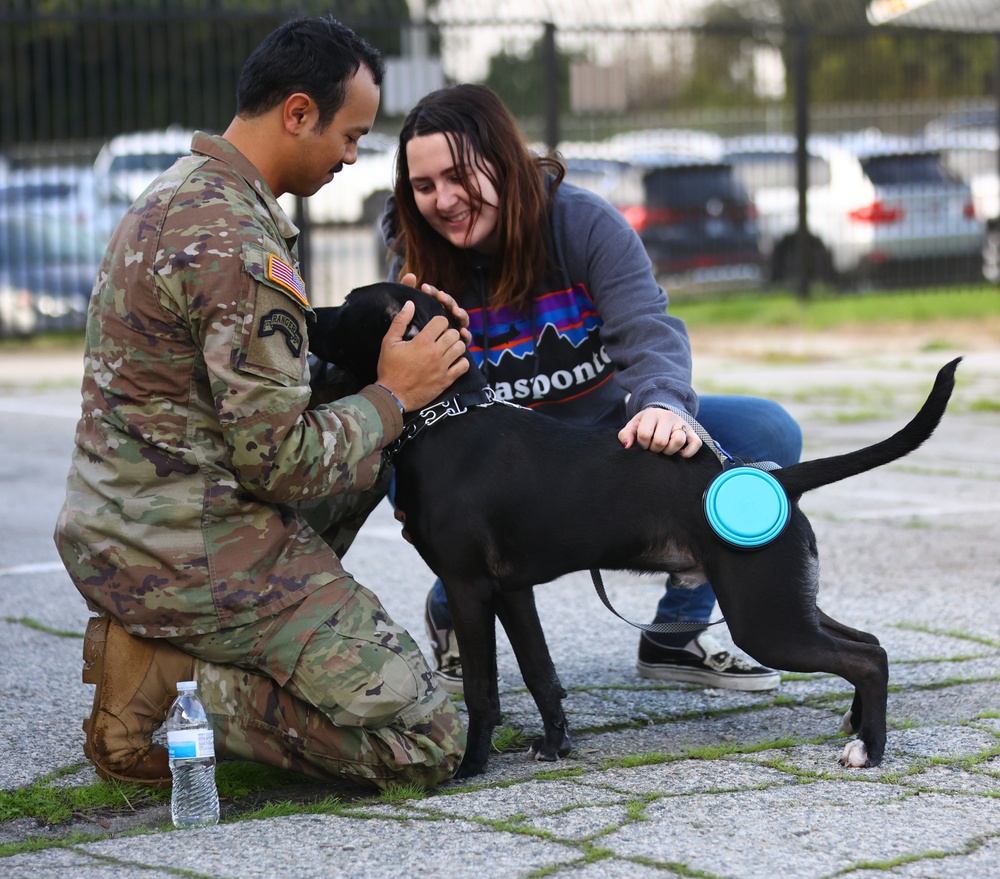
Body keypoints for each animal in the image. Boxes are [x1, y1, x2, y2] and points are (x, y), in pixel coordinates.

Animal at [314, 282, 960, 776]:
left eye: (347, 305)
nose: (311, 314)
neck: (446, 417)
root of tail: (773, 477)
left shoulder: (470, 587)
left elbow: (482, 689)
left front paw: (470, 767)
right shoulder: (513, 591)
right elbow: (541, 675)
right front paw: (555, 745)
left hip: (765, 619)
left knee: (866, 659)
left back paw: (869, 750)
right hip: (784, 601)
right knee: (869, 644)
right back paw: (856, 726)